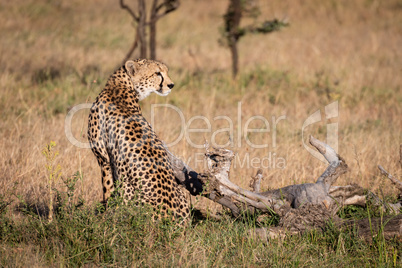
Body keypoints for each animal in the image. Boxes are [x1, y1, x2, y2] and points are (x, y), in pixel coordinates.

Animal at [87, 59, 190, 223]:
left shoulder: (103, 159)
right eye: (157, 73)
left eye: (166, 72)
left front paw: (104, 215)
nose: (171, 85)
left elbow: (107, 189)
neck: (121, 85)